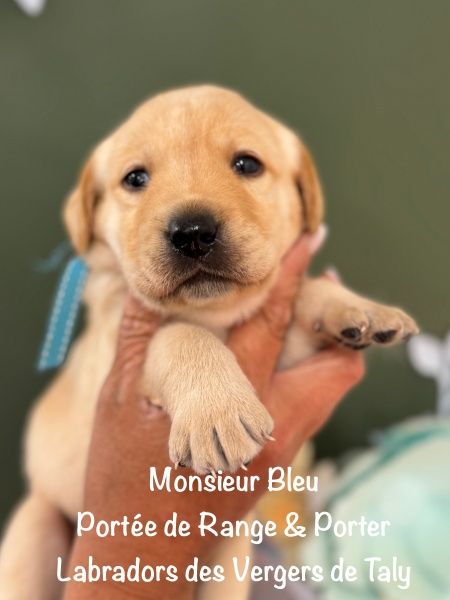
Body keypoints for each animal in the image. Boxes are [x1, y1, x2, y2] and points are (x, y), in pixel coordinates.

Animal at [0, 85, 418, 599]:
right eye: (135, 178)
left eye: (247, 164)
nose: (193, 233)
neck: (216, 314)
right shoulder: (119, 345)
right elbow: (179, 334)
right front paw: (217, 411)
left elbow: (298, 292)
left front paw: (356, 307)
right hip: (36, 522)